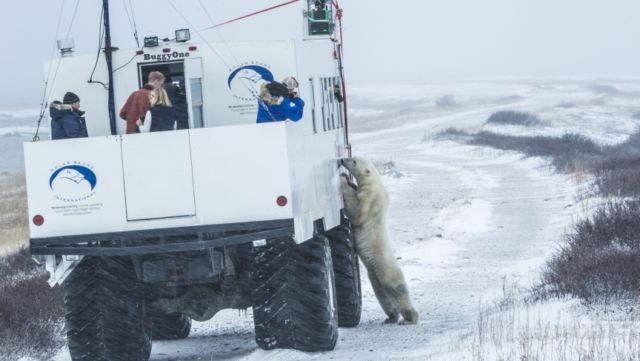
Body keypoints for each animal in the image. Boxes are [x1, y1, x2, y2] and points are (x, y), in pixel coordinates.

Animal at [340, 157, 420, 324]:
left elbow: (357, 213)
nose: (343, 159)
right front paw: (350, 182)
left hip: (385, 269)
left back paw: (410, 318)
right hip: (374, 274)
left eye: (354, 161)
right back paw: (391, 317)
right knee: (382, 294)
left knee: (396, 289)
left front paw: (344, 181)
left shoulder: (369, 196)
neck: (375, 182)